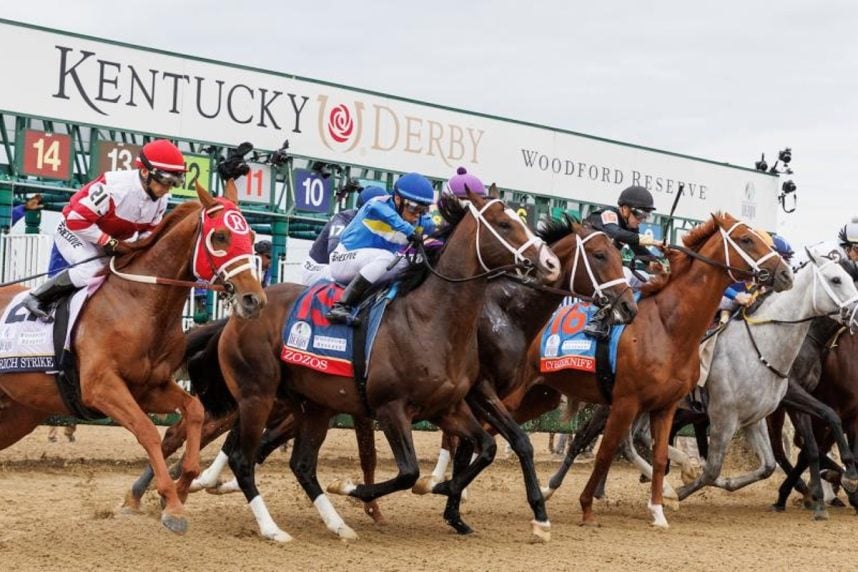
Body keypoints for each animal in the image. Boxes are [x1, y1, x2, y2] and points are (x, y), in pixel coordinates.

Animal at [0, 181, 264, 536]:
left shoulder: (150, 387)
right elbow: (147, 430)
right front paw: (171, 505)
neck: (139, 304)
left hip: (18, 413)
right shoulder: (101, 387)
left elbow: (194, 412)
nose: (254, 300)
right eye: (220, 236)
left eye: (250, 236)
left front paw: (183, 485)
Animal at [198, 190, 564, 544]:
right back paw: (269, 527)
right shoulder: (392, 408)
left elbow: (486, 448)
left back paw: (338, 525)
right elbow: (409, 472)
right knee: (242, 457)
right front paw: (350, 487)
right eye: (504, 224)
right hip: (257, 395)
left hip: (313, 404)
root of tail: (239, 313)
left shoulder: (447, 407)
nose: (551, 262)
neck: (431, 321)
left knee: (301, 464)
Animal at [502, 213, 788, 528]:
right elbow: (607, 452)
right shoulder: (628, 402)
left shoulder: (666, 406)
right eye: (747, 239)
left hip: (540, 395)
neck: (668, 327)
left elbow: (660, 456)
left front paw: (659, 509)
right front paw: (587, 506)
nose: (786, 273)